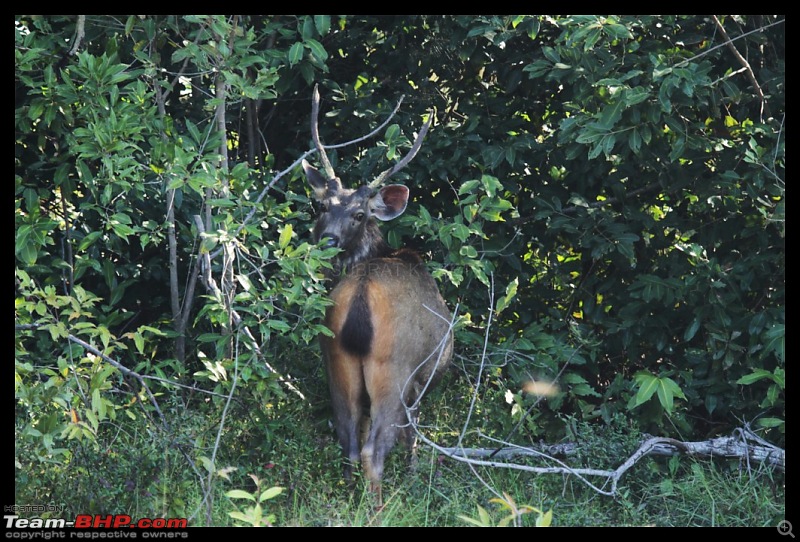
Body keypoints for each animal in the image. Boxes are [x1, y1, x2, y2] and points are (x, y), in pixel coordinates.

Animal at [304, 87, 454, 508]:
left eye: (358, 214)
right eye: (322, 206)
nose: (327, 240)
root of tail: (358, 299)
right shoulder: (421, 380)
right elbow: (412, 435)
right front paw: (416, 475)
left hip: (336, 360)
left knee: (349, 438)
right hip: (393, 368)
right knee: (374, 448)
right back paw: (377, 506)